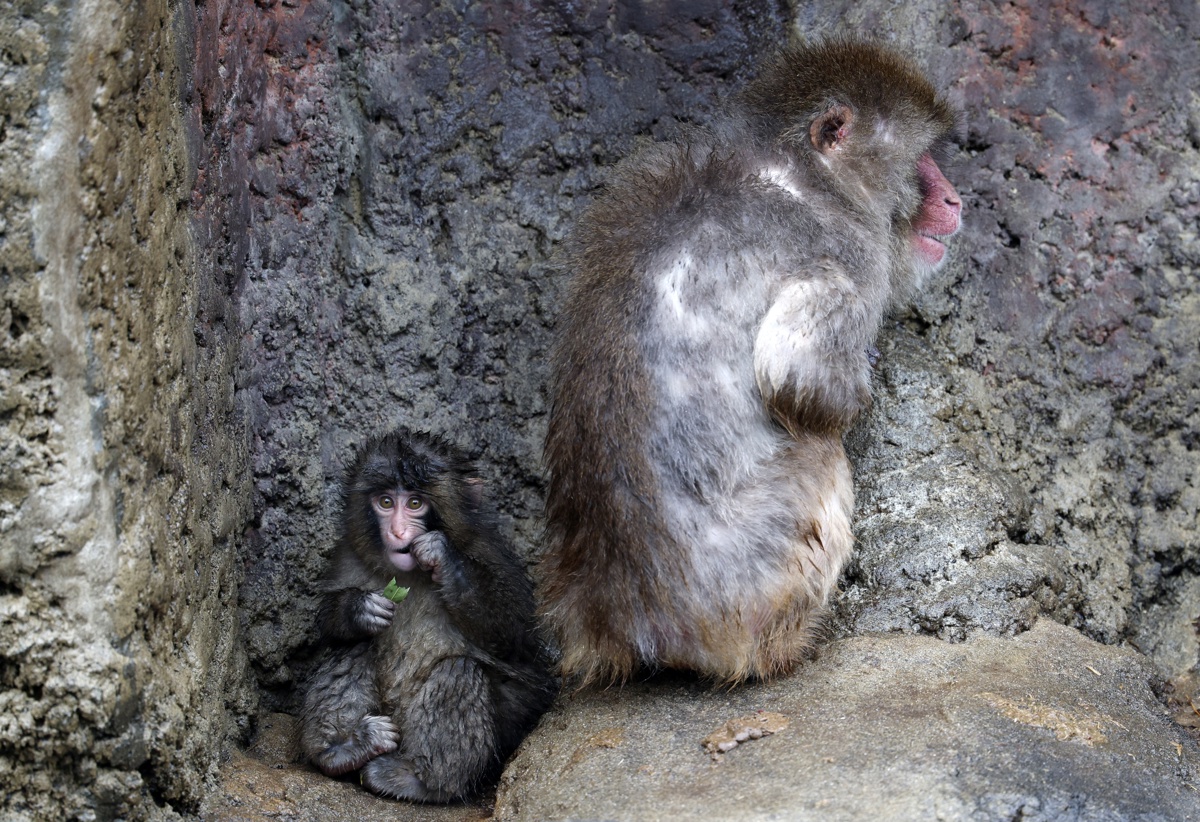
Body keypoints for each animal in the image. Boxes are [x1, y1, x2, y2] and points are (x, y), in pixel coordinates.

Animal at [300, 429, 557, 802]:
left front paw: (443, 557)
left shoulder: (492, 555)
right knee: (354, 646)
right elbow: (327, 626)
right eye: (386, 502)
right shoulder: (348, 556)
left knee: (459, 670)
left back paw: (421, 781)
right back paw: (343, 750)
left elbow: (516, 637)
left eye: (415, 504)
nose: (397, 532)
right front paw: (358, 609)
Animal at [539, 38, 963, 685]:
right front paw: (858, 384)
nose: (954, 199)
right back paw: (787, 646)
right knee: (818, 456)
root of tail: (628, 621)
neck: (808, 176)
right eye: (924, 162)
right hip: (750, 587)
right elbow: (799, 378)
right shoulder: (849, 254)